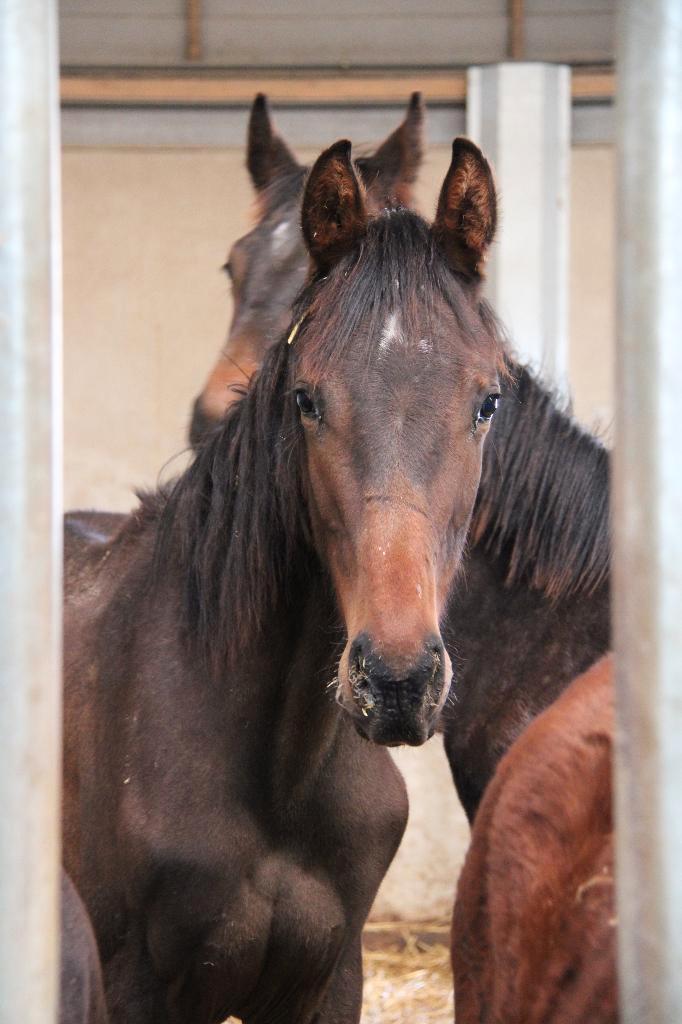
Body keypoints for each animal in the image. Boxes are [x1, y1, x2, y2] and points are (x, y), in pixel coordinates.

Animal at [63, 135, 505, 1023]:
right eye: (308, 400)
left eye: (487, 403)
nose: (396, 681)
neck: (277, 767)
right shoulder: (134, 988)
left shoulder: (326, 983)